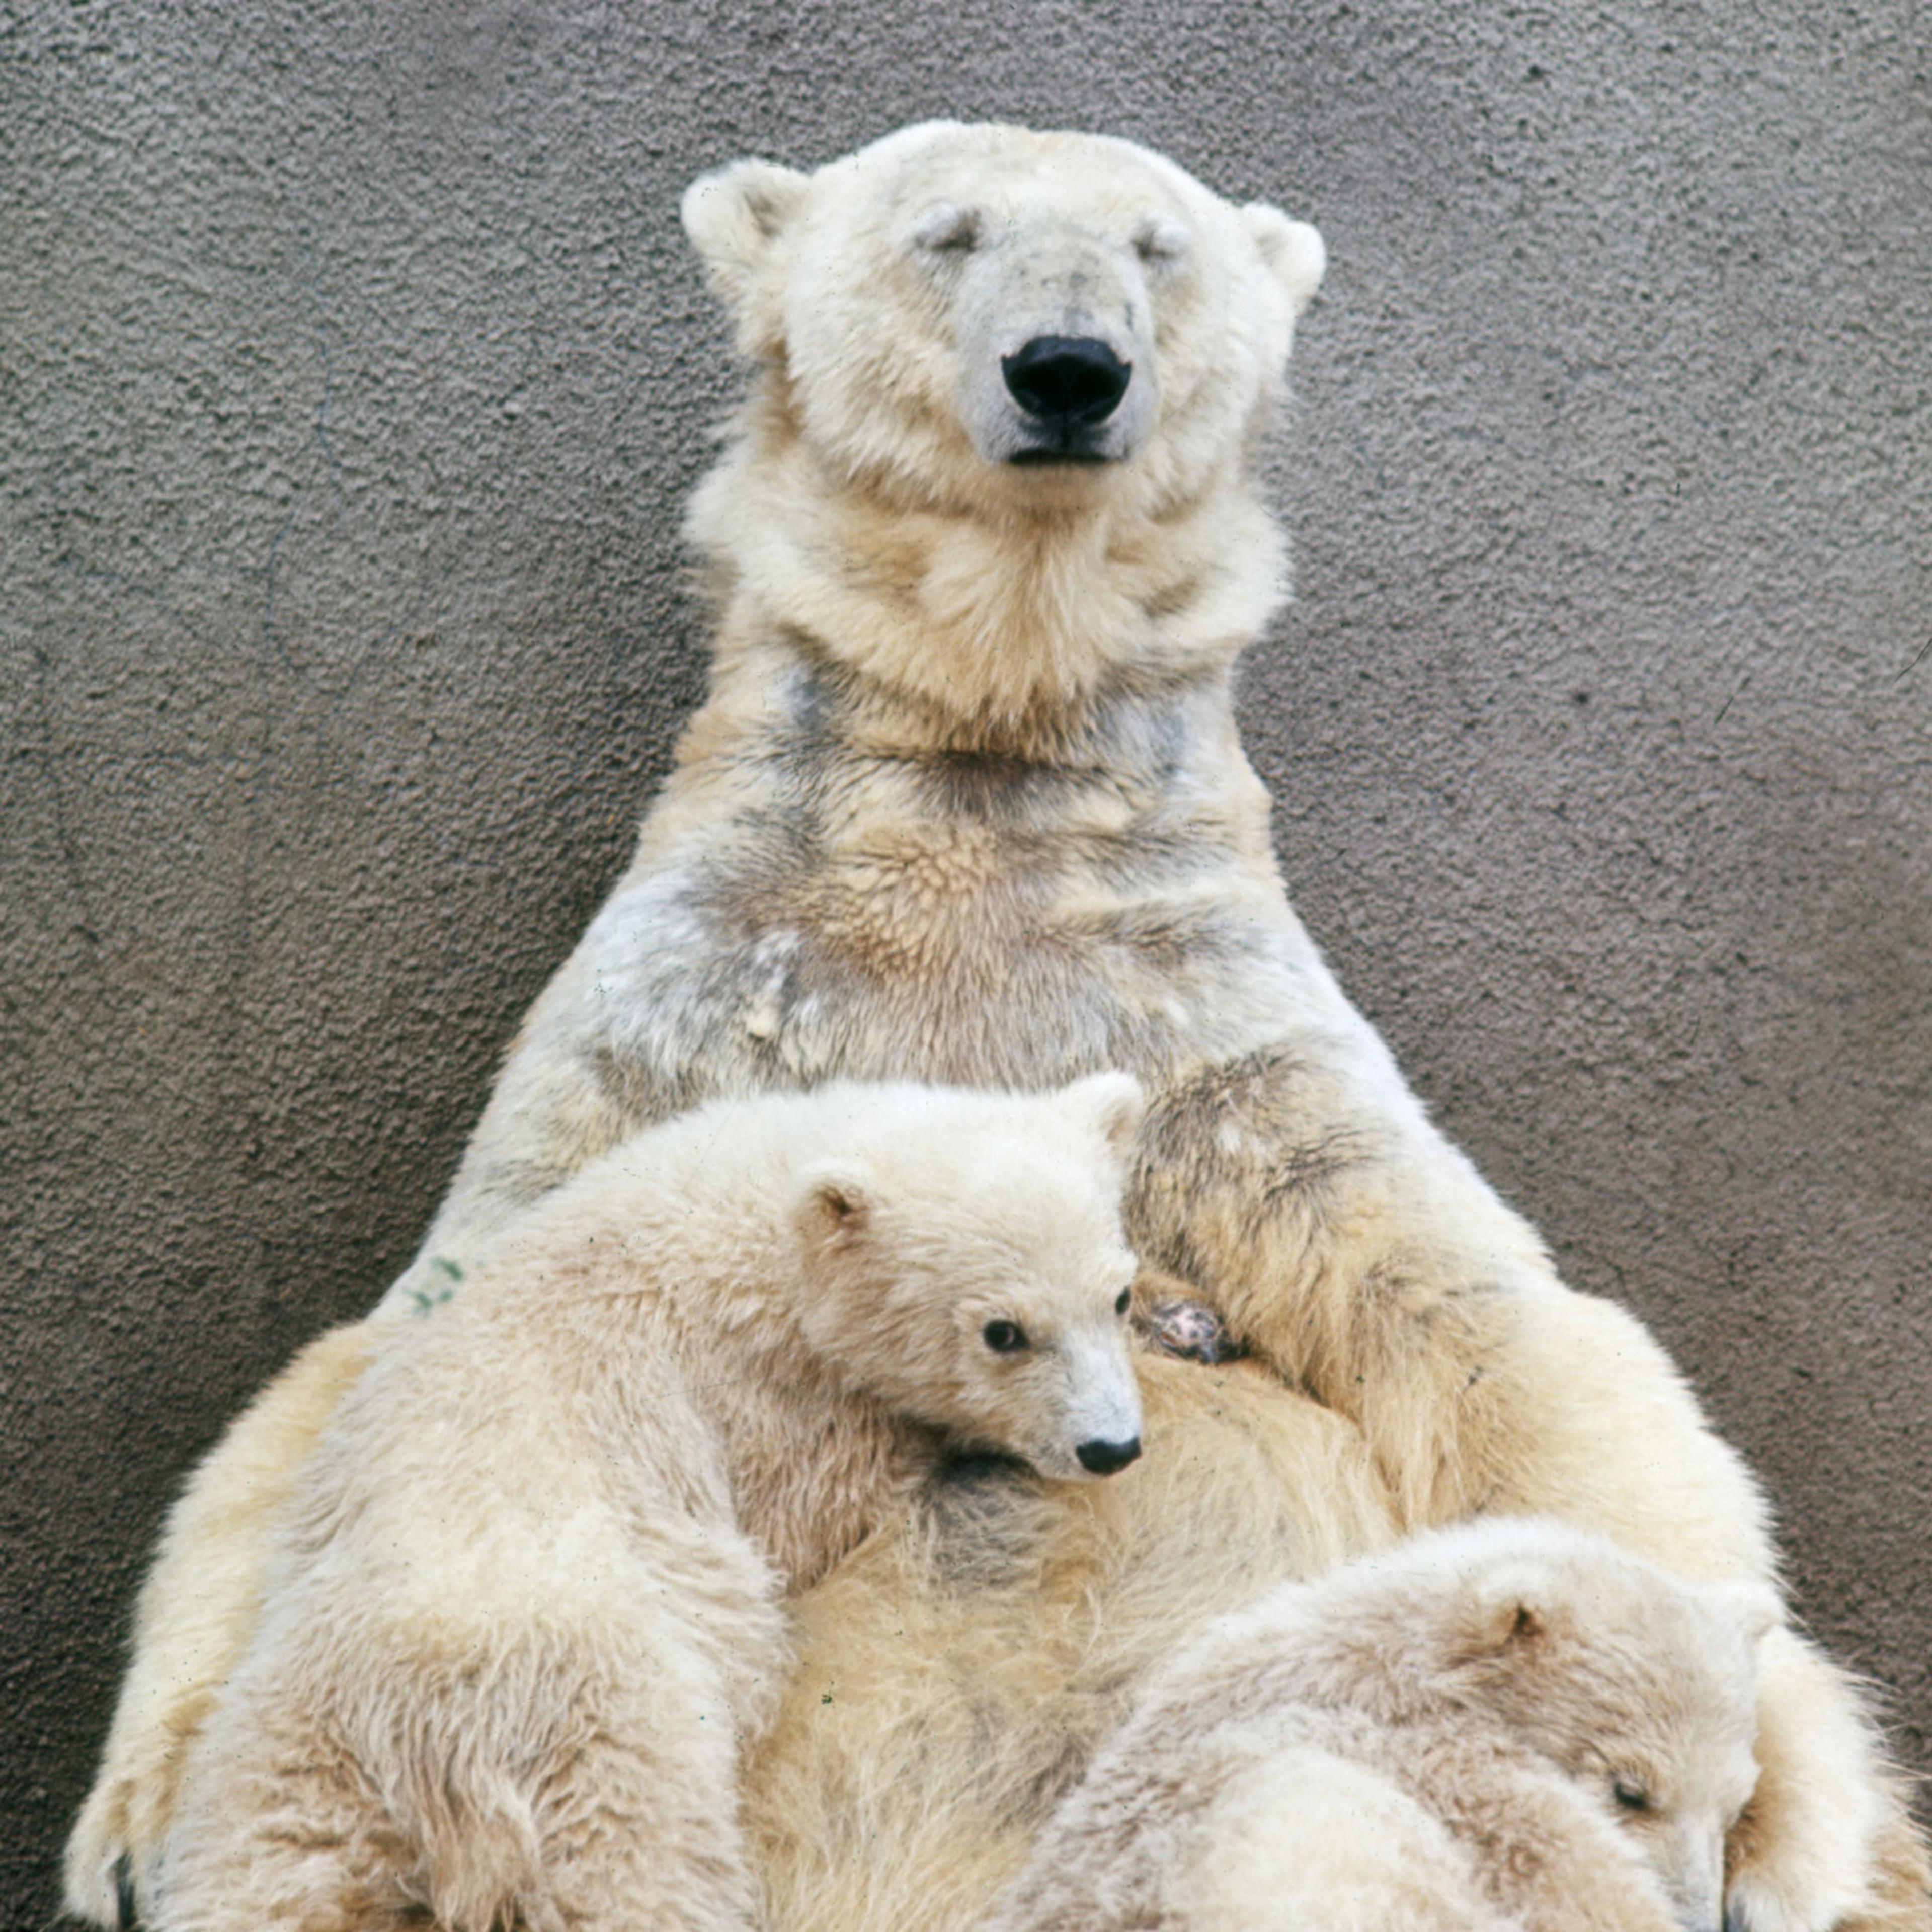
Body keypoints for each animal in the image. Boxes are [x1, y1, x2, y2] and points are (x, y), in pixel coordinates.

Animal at [148, 1075, 1148, 1932]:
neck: (755, 1212)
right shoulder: (760, 1403)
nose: (1111, 1447)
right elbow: (821, 1512)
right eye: (1002, 1332)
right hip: (601, 1731)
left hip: (290, 1764)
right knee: (644, 1869)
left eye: (1119, 1293)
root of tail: (430, 1742)